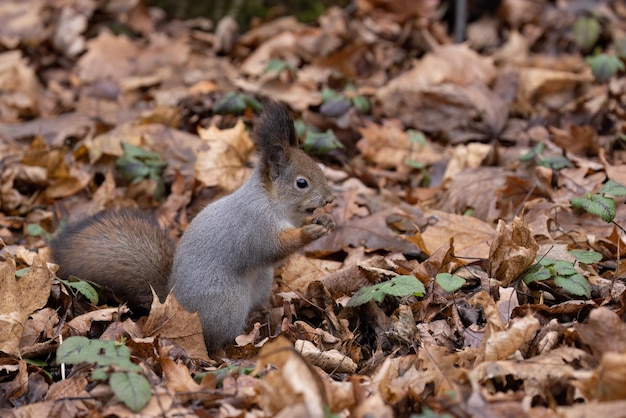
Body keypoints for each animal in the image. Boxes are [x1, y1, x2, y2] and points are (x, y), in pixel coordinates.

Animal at [51, 102, 334, 352]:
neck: (273, 203)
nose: (329, 199)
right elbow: (273, 248)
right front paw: (308, 232)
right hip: (227, 304)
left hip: (261, 283)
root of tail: (171, 303)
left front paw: (323, 221)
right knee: (214, 342)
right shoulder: (255, 225)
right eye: (301, 183)